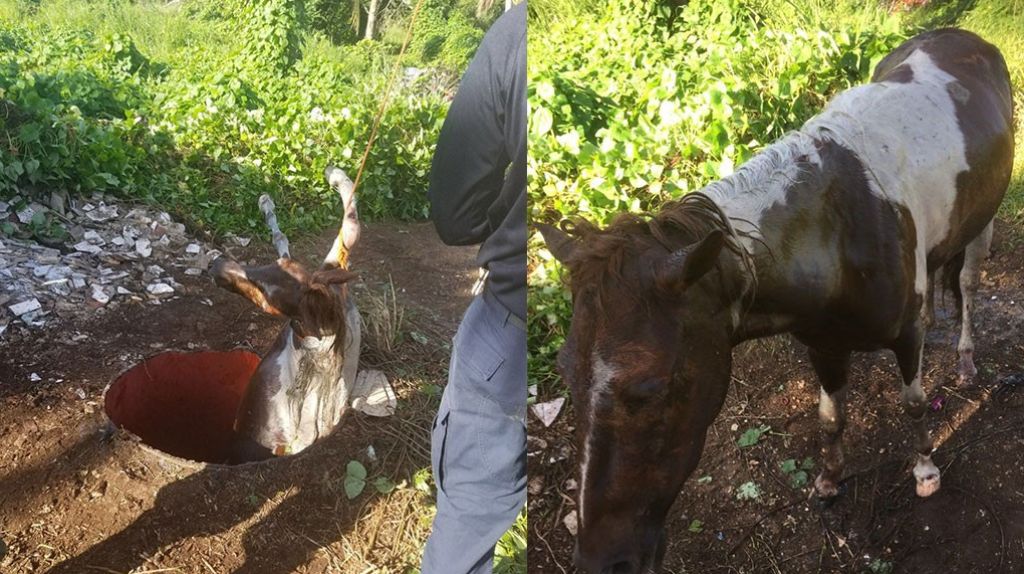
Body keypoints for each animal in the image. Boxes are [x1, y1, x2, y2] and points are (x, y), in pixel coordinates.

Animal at [538, 28, 1014, 573]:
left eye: (652, 388)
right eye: (566, 372)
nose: (602, 560)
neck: (841, 229)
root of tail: (962, 37)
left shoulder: (904, 335)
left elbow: (913, 404)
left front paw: (925, 471)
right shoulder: (824, 345)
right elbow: (831, 417)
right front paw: (829, 481)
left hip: (983, 222)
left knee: (969, 284)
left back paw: (965, 361)